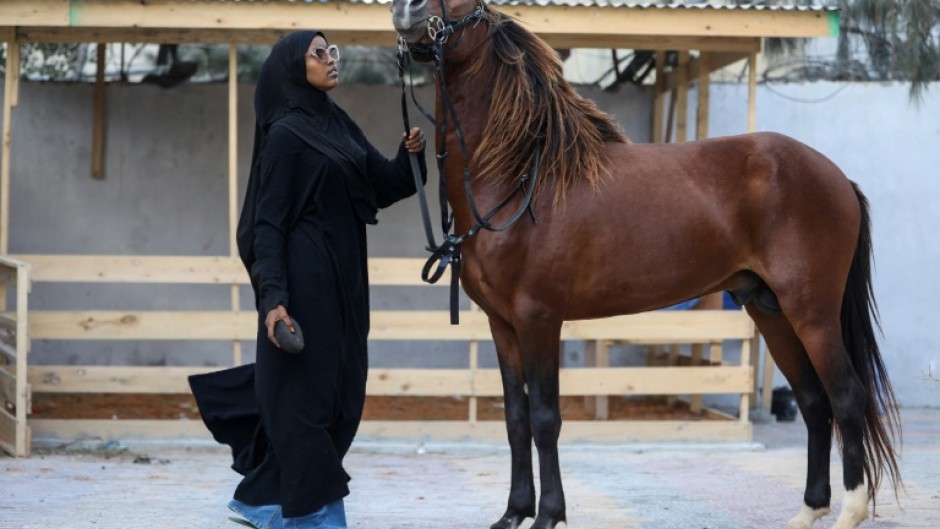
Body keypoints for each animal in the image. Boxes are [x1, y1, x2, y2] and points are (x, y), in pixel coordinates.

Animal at [392, 2, 904, 524]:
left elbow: (545, 419)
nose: (403, 9)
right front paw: (514, 513)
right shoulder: (502, 324)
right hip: (771, 311)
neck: (522, 178)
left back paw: (849, 511)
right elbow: (516, 418)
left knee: (847, 398)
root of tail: (838, 177)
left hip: (812, 312)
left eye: (461, 6)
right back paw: (808, 511)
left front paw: (550, 514)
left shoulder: (540, 318)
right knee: (814, 402)